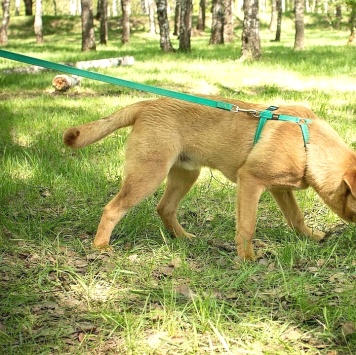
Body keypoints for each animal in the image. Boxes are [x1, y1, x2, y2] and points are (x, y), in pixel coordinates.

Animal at [64, 97, 356, 262]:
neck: (307, 145)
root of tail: (147, 104)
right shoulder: (250, 181)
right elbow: (247, 226)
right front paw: (247, 258)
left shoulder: (281, 190)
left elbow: (296, 217)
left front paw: (310, 236)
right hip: (148, 174)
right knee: (112, 209)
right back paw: (101, 247)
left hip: (185, 174)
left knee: (164, 208)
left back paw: (183, 238)